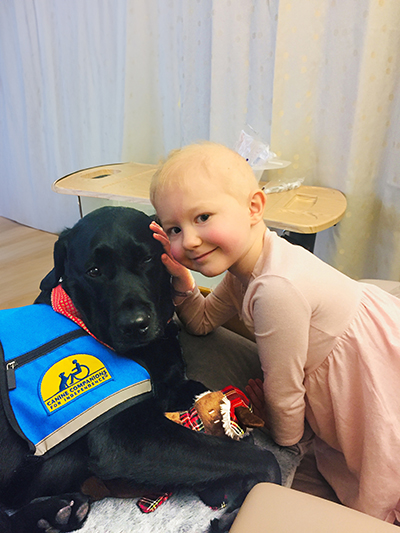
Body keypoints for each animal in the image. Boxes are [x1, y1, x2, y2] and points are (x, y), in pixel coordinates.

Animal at [0, 206, 282, 528]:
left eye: (147, 259)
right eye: (93, 271)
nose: (135, 325)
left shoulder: (172, 386)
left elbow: (201, 392)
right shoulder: (126, 438)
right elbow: (261, 459)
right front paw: (237, 510)